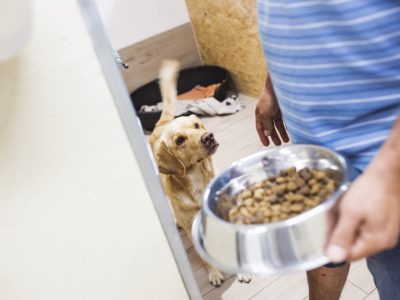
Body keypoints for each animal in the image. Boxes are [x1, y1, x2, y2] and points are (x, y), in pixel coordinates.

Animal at [148, 60, 252, 286]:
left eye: (196, 125)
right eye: (180, 140)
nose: (208, 136)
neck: (198, 181)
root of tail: (161, 124)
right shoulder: (193, 227)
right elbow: (205, 258)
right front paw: (214, 273)